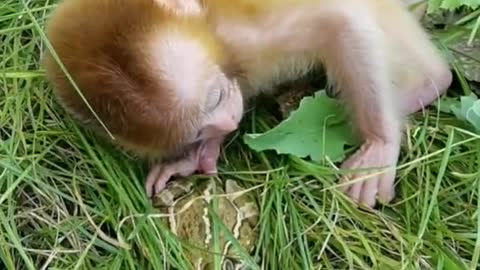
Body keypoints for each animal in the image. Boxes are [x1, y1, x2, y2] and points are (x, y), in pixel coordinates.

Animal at [43, 0, 452, 207]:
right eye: (195, 131)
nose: (226, 124)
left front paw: (381, 142)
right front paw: (197, 156)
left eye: (216, 96)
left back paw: (425, 85)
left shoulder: (246, 38)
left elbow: (340, 21)